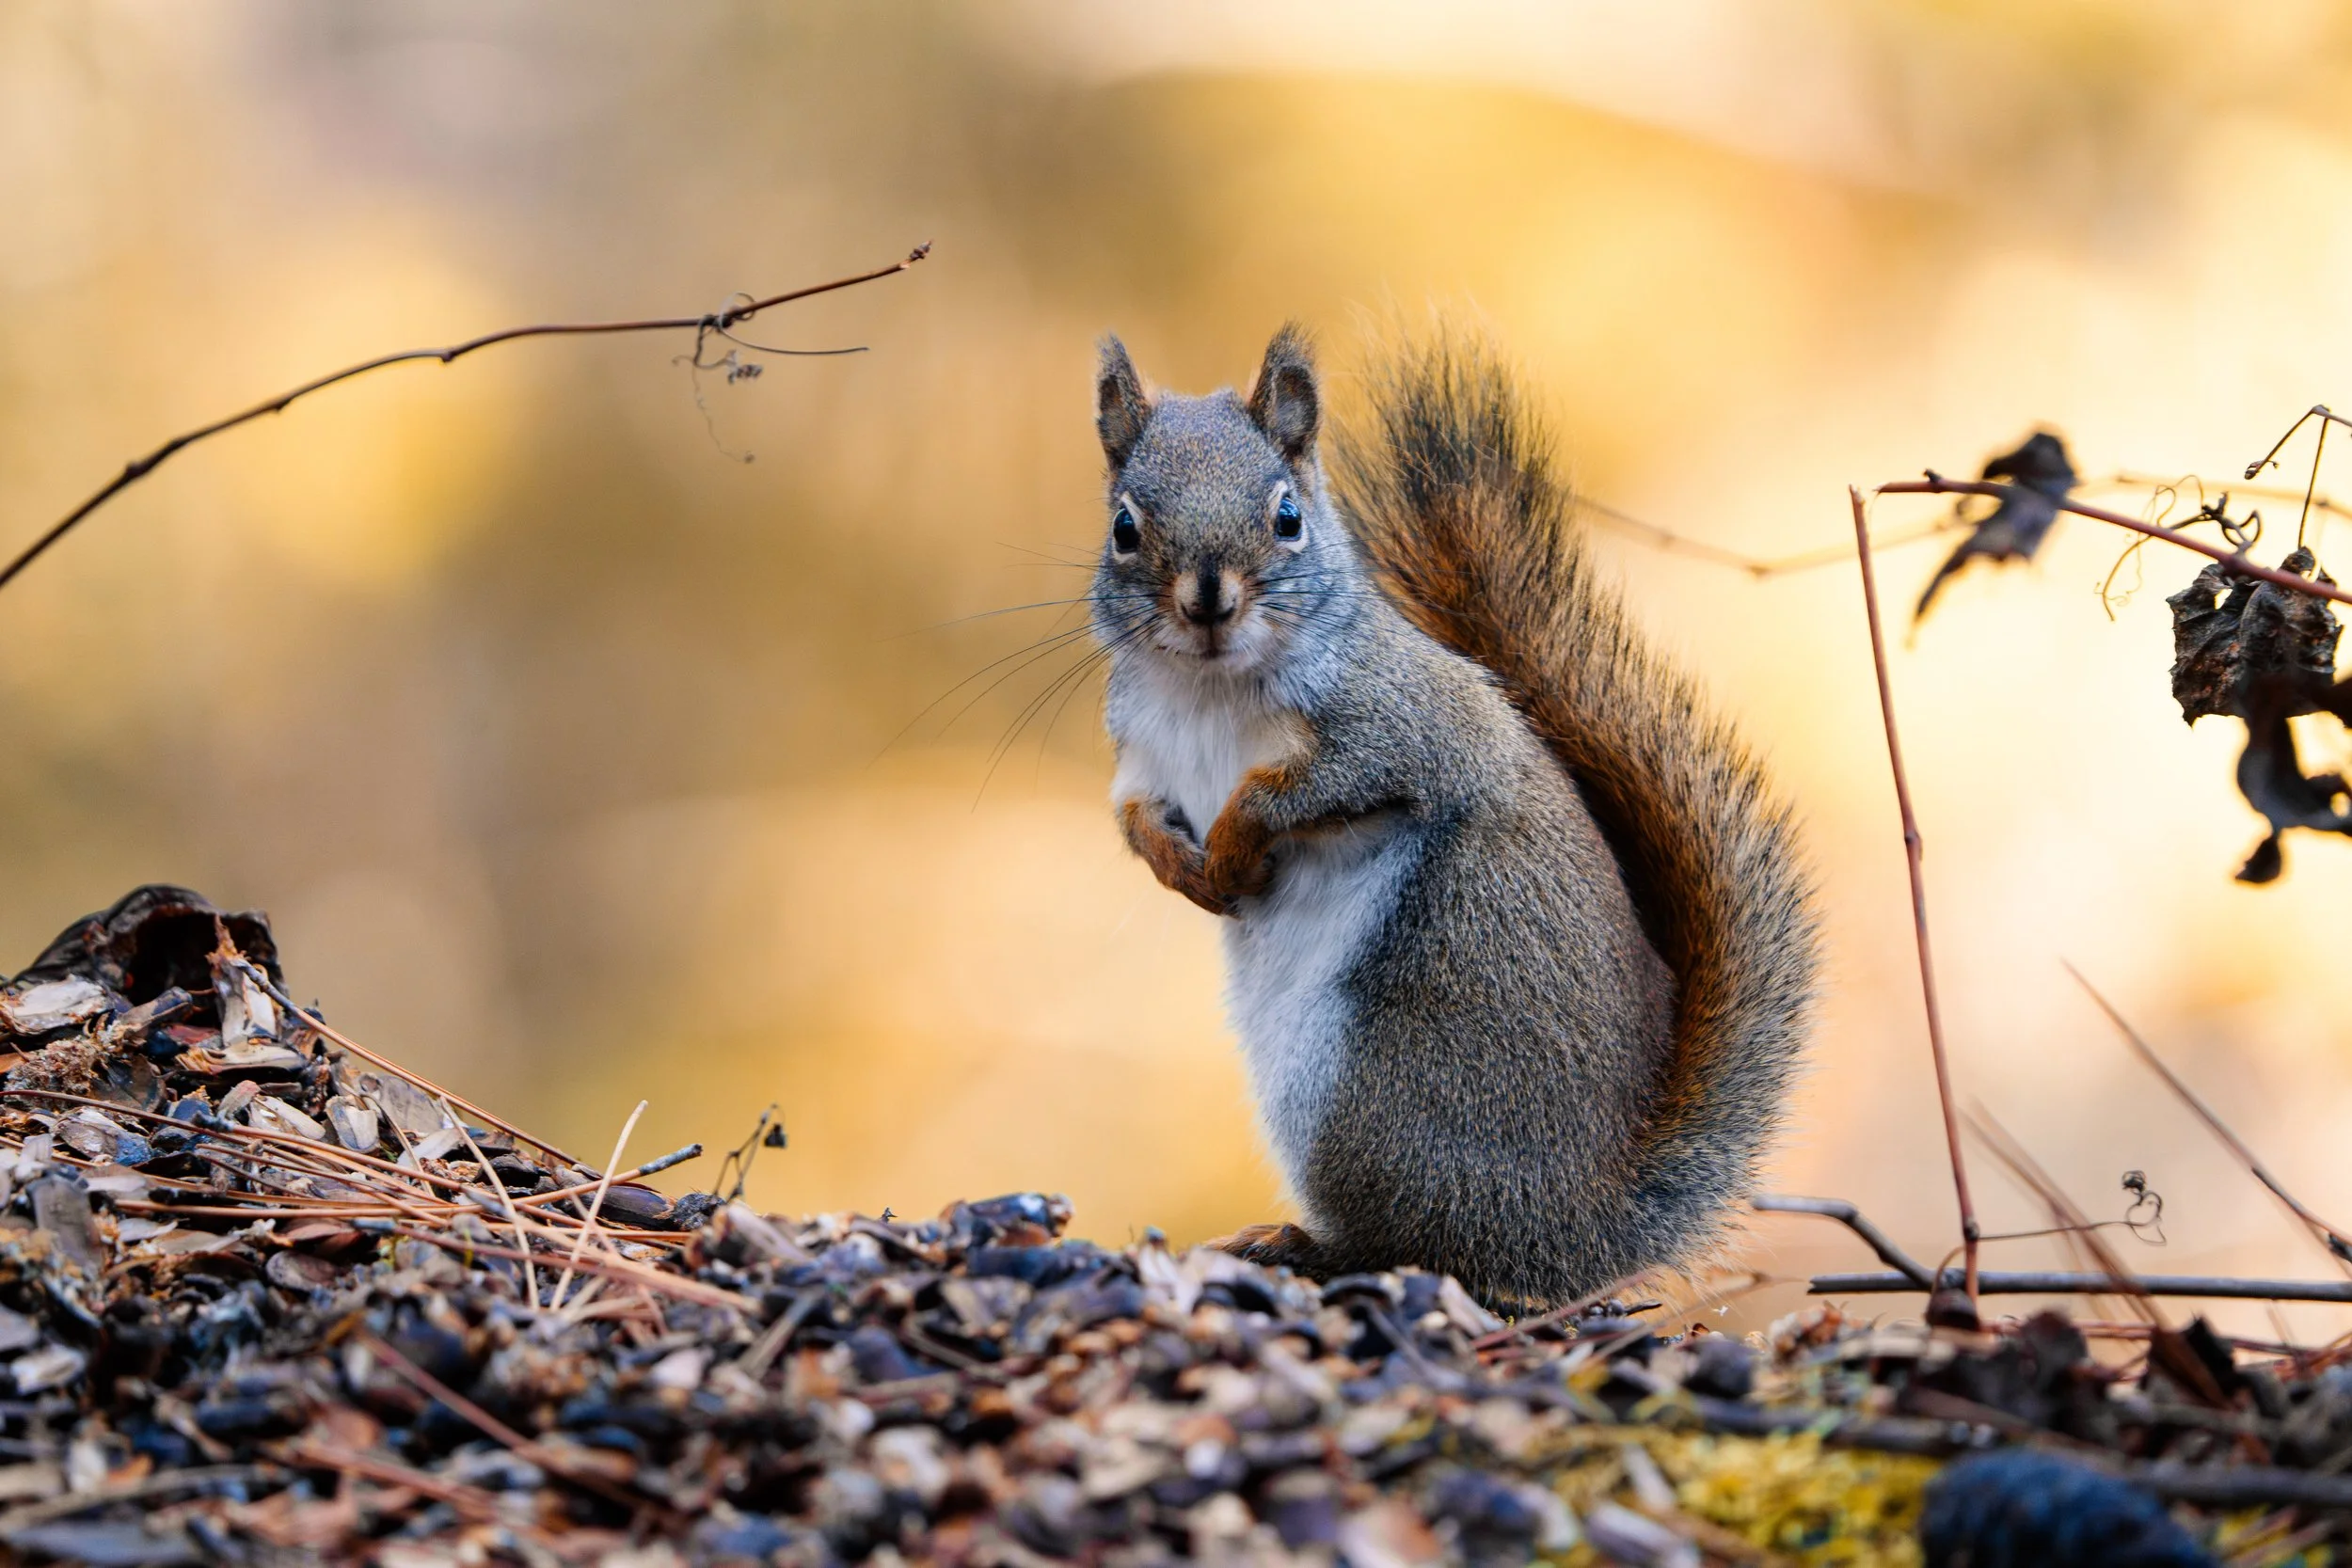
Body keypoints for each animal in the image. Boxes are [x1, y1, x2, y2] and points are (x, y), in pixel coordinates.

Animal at [1088, 325, 1818, 1308]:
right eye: (1125, 527)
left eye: (1288, 516)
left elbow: (1304, 789)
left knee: (1415, 1244)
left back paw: (1295, 1245)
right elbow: (1136, 817)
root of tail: (1578, 1228)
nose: (1208, 600)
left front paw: (1237, 843)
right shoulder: (1143, 755)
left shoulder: (1406, 725)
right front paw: (1185, 871)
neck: (1206, 685)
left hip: (1366, 1094)